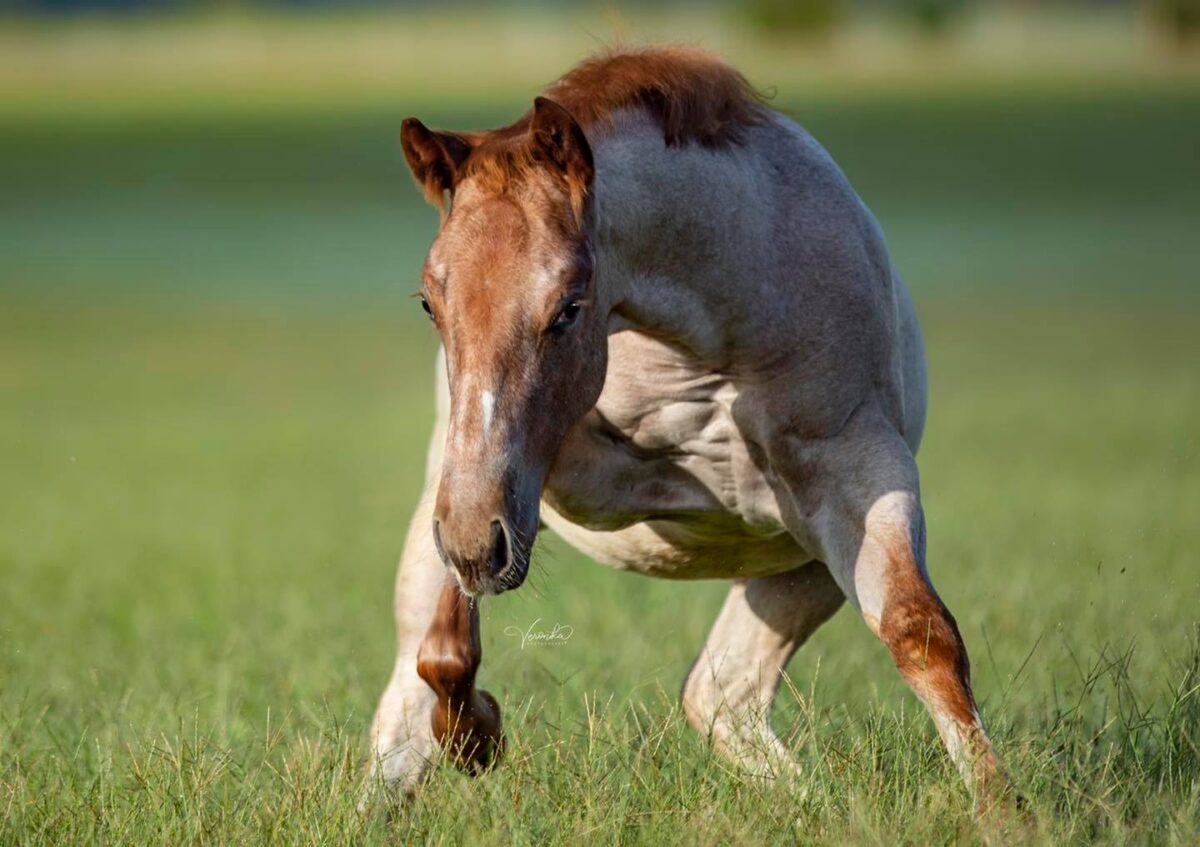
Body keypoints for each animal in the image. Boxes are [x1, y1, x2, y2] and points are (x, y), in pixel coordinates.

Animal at [366, 45, 1013, 814]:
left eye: (569, 307)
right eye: (430, 304)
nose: (473, 549)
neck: (707, 341)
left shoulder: (859, 476)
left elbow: (921, 633)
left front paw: (1005, 811)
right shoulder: (503, 484)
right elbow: (445, 652)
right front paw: (480, 734)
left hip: (801, 570)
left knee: (724, 697)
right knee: (404, 710)